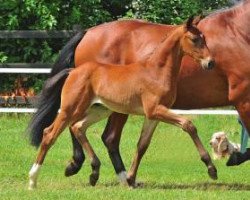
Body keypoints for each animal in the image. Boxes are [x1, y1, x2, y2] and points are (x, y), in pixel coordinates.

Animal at [28, 0, 250, 185]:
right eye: (195, 39)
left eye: (205, 38)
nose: (210, 63)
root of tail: (87, 33)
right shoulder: (242, 99)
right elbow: (189, 125)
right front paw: (218, 165)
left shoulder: (153, 113)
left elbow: (142, 144)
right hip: (85, 106)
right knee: (66, 131)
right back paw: (53, 173)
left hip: (103, 108)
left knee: (87, 130)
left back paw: (110, 175)